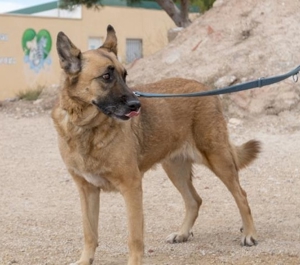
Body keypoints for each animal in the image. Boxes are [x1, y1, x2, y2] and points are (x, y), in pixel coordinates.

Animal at [51, 25, 260, 264]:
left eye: (125, 75)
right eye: (106, 76)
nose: (136, 105)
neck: (87, 127)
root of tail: (205, 87)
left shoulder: (131, 188)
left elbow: (134, 238)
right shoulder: (87, 191)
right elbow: (89, 232)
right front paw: (85, 260)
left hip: (218, 159)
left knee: (241, 195)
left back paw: (250, 234)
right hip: (175, 168)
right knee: (194, 200)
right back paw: (182, 233)